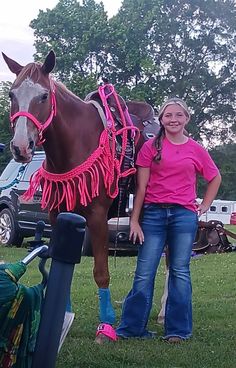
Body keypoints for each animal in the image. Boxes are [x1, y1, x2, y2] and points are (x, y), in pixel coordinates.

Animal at [1, 50, 159, 344]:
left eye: (44, 96)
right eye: (11, 94)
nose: (20, 147)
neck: (74, 144)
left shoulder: (96, 217)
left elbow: (101, 272)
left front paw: (106, 326)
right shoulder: (57, 215)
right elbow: (61, 264)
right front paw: (62, 316)